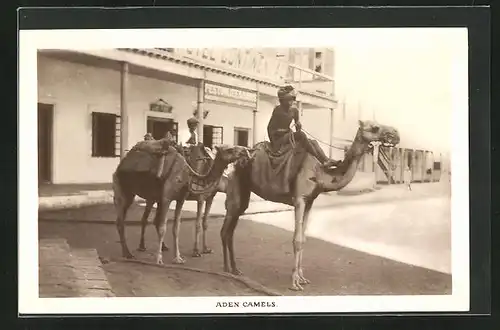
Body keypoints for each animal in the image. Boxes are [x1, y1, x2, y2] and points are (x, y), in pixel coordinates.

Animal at [113, 142, 250, 266]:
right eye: (229, 150)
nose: (246, 151)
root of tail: (122, 163)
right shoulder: (171, 197)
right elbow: (168, 227)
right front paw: (160, 260)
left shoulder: (182, 199)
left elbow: (177, 227)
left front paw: (179, 258)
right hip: (124, 188)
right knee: (124, 221)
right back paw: (130, 252)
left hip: (150, 195)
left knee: (149, 219)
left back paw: (159, 247)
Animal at [221, 120, 400, 290]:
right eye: (375, 127)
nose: (395, 134)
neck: (321, 173)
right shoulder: (299, 199)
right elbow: (297, 240)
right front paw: (294, 283)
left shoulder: (310, 201)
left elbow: (304, 238)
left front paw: (302, 278)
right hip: (236, 186)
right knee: (225, 229)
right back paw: (225, 269)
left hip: (244, 192)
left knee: (231, 229)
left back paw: (234, 269)